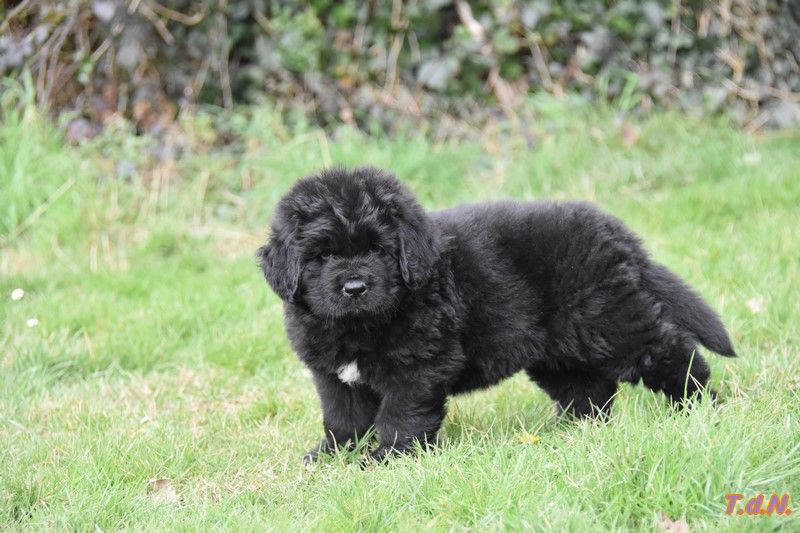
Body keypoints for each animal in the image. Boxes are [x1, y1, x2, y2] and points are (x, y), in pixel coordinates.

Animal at [257, 167, 735, 463]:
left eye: (378, 249)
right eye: (323, 255)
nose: (354, 287)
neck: (358, 327)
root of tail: (618, 232)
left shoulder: (418, 366)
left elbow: (400, 415)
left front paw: (385, 460)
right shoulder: (333, 376)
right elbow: (343, 420)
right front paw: (330, 457)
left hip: (609, 320)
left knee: (669, 351)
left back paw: (700, 405)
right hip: (556, 347)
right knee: (589, 389)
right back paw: (570, 431)